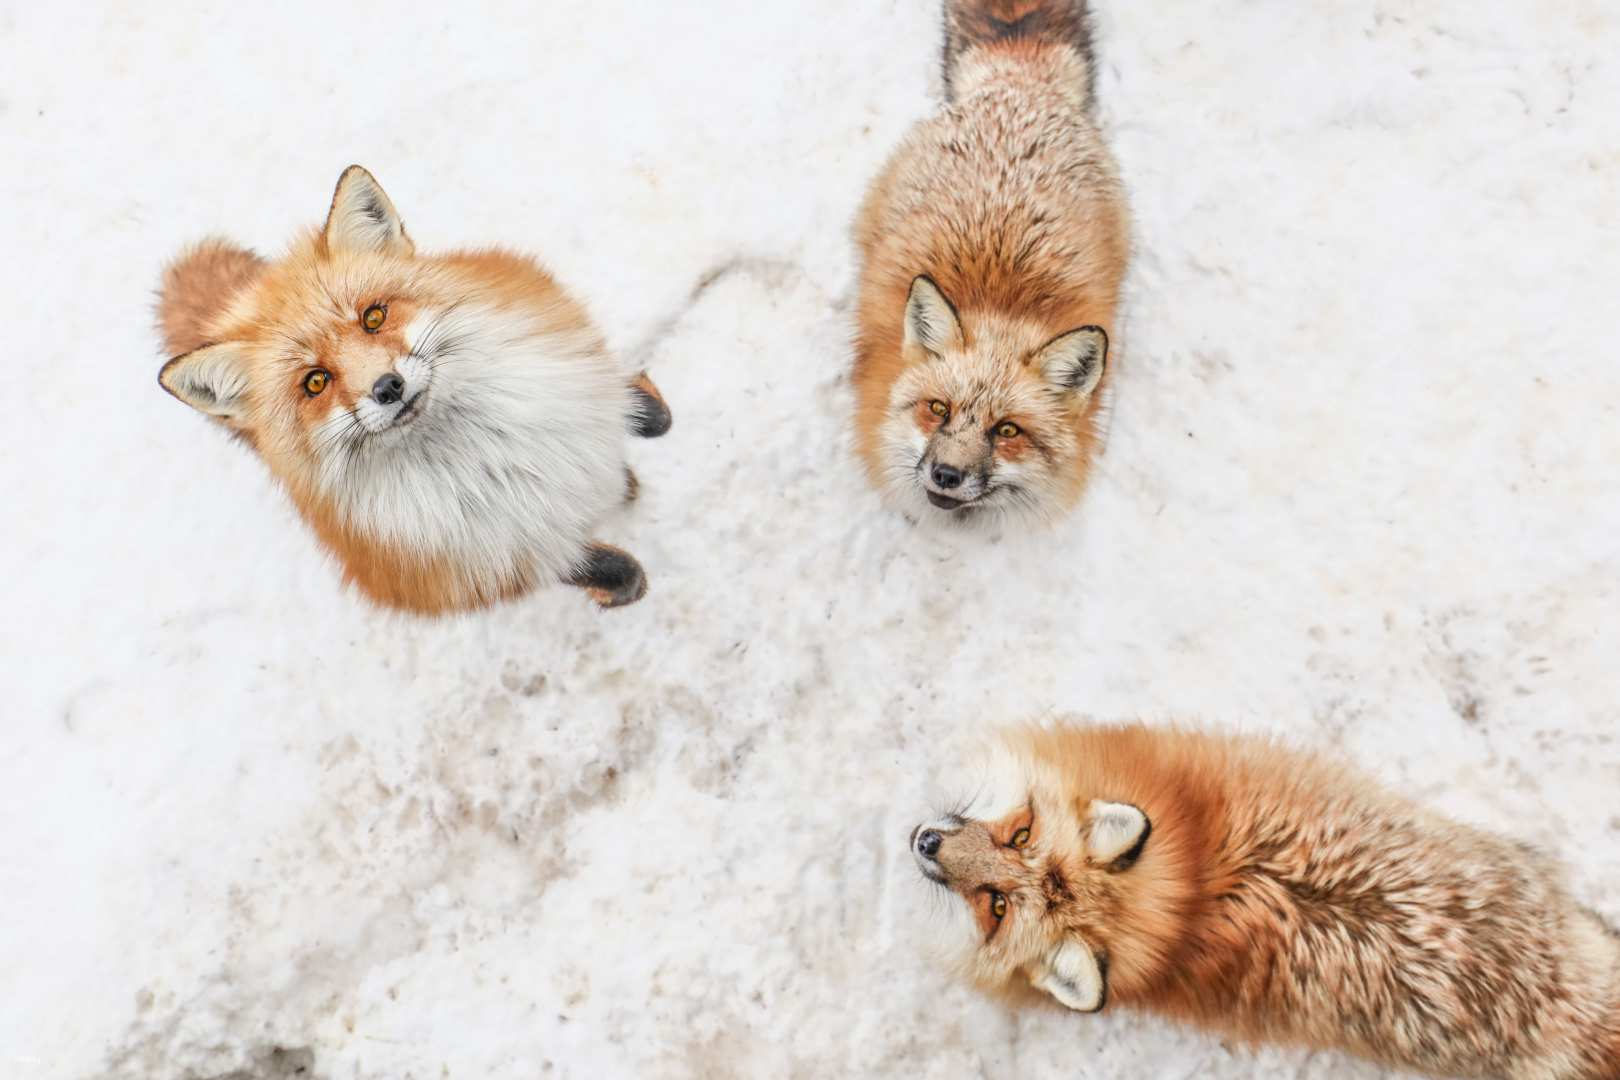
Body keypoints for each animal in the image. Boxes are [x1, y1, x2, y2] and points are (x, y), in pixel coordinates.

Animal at [155, 165, 672, 615]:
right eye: (315, 382)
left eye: (373, 317)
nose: (387, 387)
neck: (493, 457)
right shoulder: (494, 560)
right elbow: (600, 569)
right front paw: (618, 586)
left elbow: (645, 412)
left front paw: (640, 410)